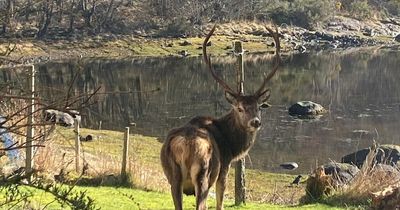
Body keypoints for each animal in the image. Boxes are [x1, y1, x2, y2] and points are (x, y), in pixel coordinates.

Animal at [160, 25, 282, 210]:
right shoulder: (224, 168)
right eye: (239, 108)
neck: (232, 147)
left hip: (173, 176)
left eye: (259, 107)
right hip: (203, 172)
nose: (255, 122)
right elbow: (220, 204)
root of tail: (185, 144)